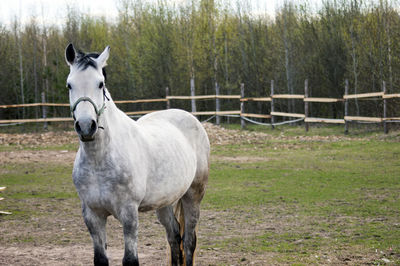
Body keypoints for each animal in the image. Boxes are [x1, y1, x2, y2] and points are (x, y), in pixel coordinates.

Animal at [65, 44, 209, 266]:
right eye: (70, 85)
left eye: (100, 84)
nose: (86, 126)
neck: (99, 159)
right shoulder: (92, 215)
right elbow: (100, 259)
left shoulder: (129, 214)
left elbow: (130, 260)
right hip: (164, 202)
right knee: (174, 236)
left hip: (193, 195)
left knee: (188, 241)